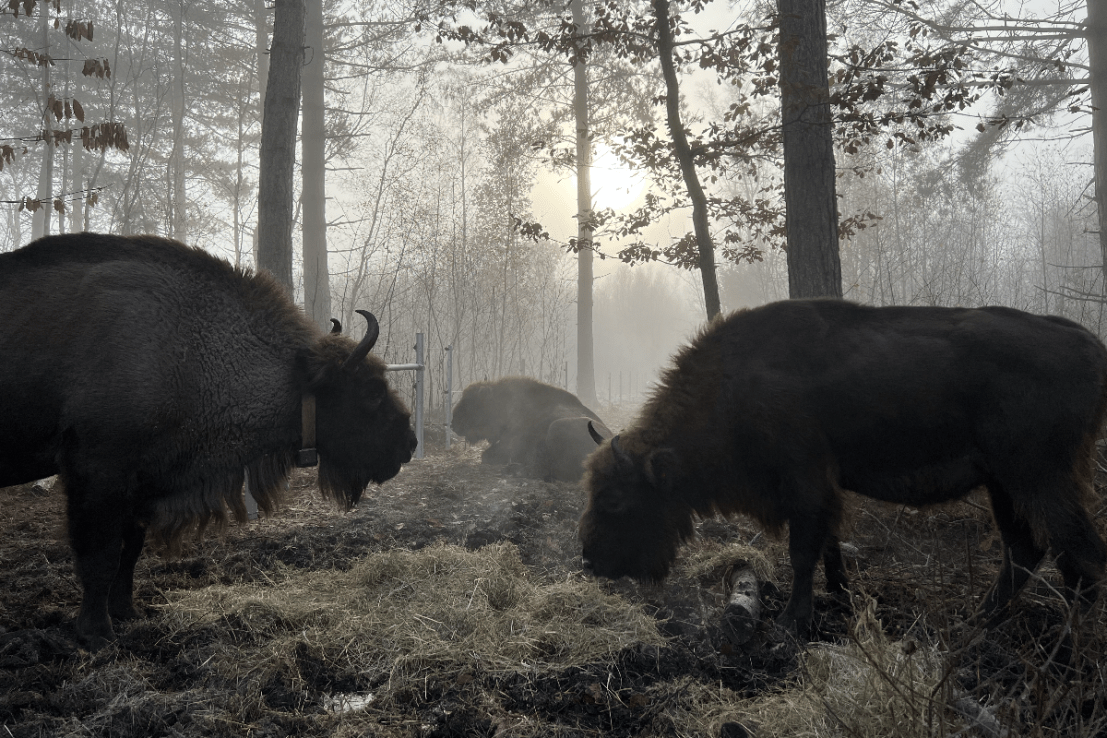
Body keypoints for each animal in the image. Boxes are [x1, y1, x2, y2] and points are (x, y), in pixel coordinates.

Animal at [0, 233, 418, 650]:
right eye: (372, 390)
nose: (409, 443)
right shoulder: (97, 474)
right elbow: (99, 555)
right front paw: (97, 633)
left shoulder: (139, 484)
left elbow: (130, 550)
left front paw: (126, 612)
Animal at [580, 300, 1107, 637]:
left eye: (614, 500)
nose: (590, 561)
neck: (733, 386)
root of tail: (1089, 345)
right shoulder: (822, 491)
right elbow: (829, 546)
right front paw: (840, 597)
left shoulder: (805, 483)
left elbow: (802, 552)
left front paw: (791, 622)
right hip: (1004, 483)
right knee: (1027, 549)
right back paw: (977, 622)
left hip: (1038, 478)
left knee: (1078, 551)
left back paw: (1070, 641)